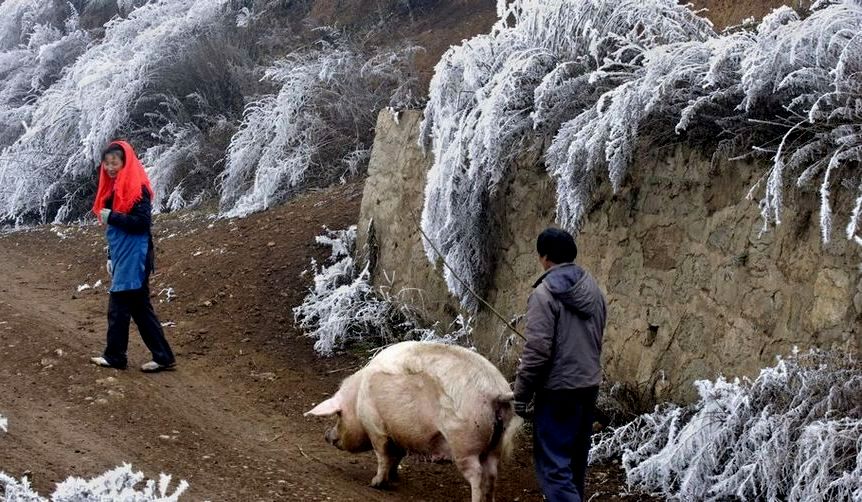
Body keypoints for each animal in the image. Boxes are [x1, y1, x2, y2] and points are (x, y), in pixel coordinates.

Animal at [306, 340, 520, 500]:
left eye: (338, 415)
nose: (326, 435)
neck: (358, 400)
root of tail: (495, 392)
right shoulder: (399, 433)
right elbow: (396, 455)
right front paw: (394, 478)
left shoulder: (376, 427)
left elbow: (382, 455)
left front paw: (376, 483)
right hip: (495, 445)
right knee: (492, 474)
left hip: (464, 441)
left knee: (477, 475)